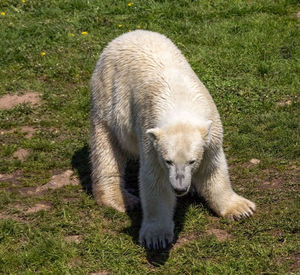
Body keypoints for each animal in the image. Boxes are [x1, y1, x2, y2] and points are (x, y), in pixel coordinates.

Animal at [89, 29, 255, 250]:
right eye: (168, 161)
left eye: (192, 161)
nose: (179, 188)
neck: (179, 101)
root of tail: (128, 33)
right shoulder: (150, 140)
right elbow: (155, 181)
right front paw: (156, 237)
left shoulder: (211, 133)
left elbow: (212, 168)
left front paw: (241, 208)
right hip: (106, 100)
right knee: (106, 149)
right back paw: (121, 199)